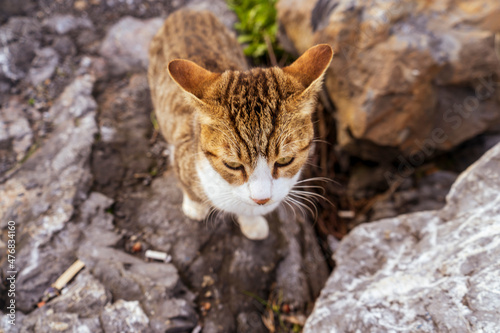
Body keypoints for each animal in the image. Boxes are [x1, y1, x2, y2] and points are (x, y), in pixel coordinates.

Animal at [149, 9, 336, 239]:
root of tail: (187, 11)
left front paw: (252, 223)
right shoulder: (182, 152)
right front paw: (195, 206)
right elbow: (188, 184)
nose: (262, 199)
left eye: (285, 160)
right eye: (233, 165)